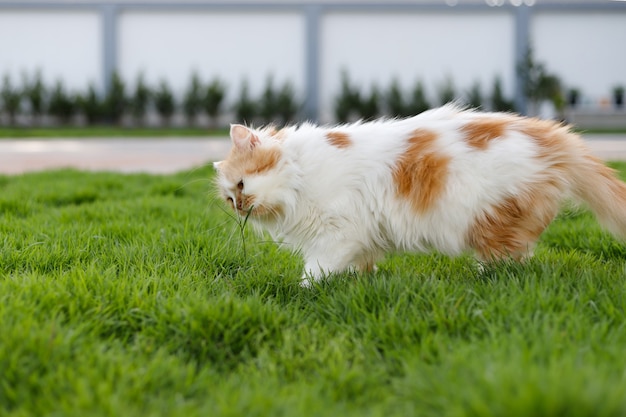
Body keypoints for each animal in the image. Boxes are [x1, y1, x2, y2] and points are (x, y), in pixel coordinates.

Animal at [212, 105, 624, 286]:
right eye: (230, 199)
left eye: (242, 186)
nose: (241, 207)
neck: (300, 175)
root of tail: (551, 136)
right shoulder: (361, 238)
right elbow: (361, 264)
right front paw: (360, 282)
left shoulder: (338, 233)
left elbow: (316, 270)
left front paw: (304, 290)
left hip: (491, 219)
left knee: (509, 260)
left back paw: (484, 278)